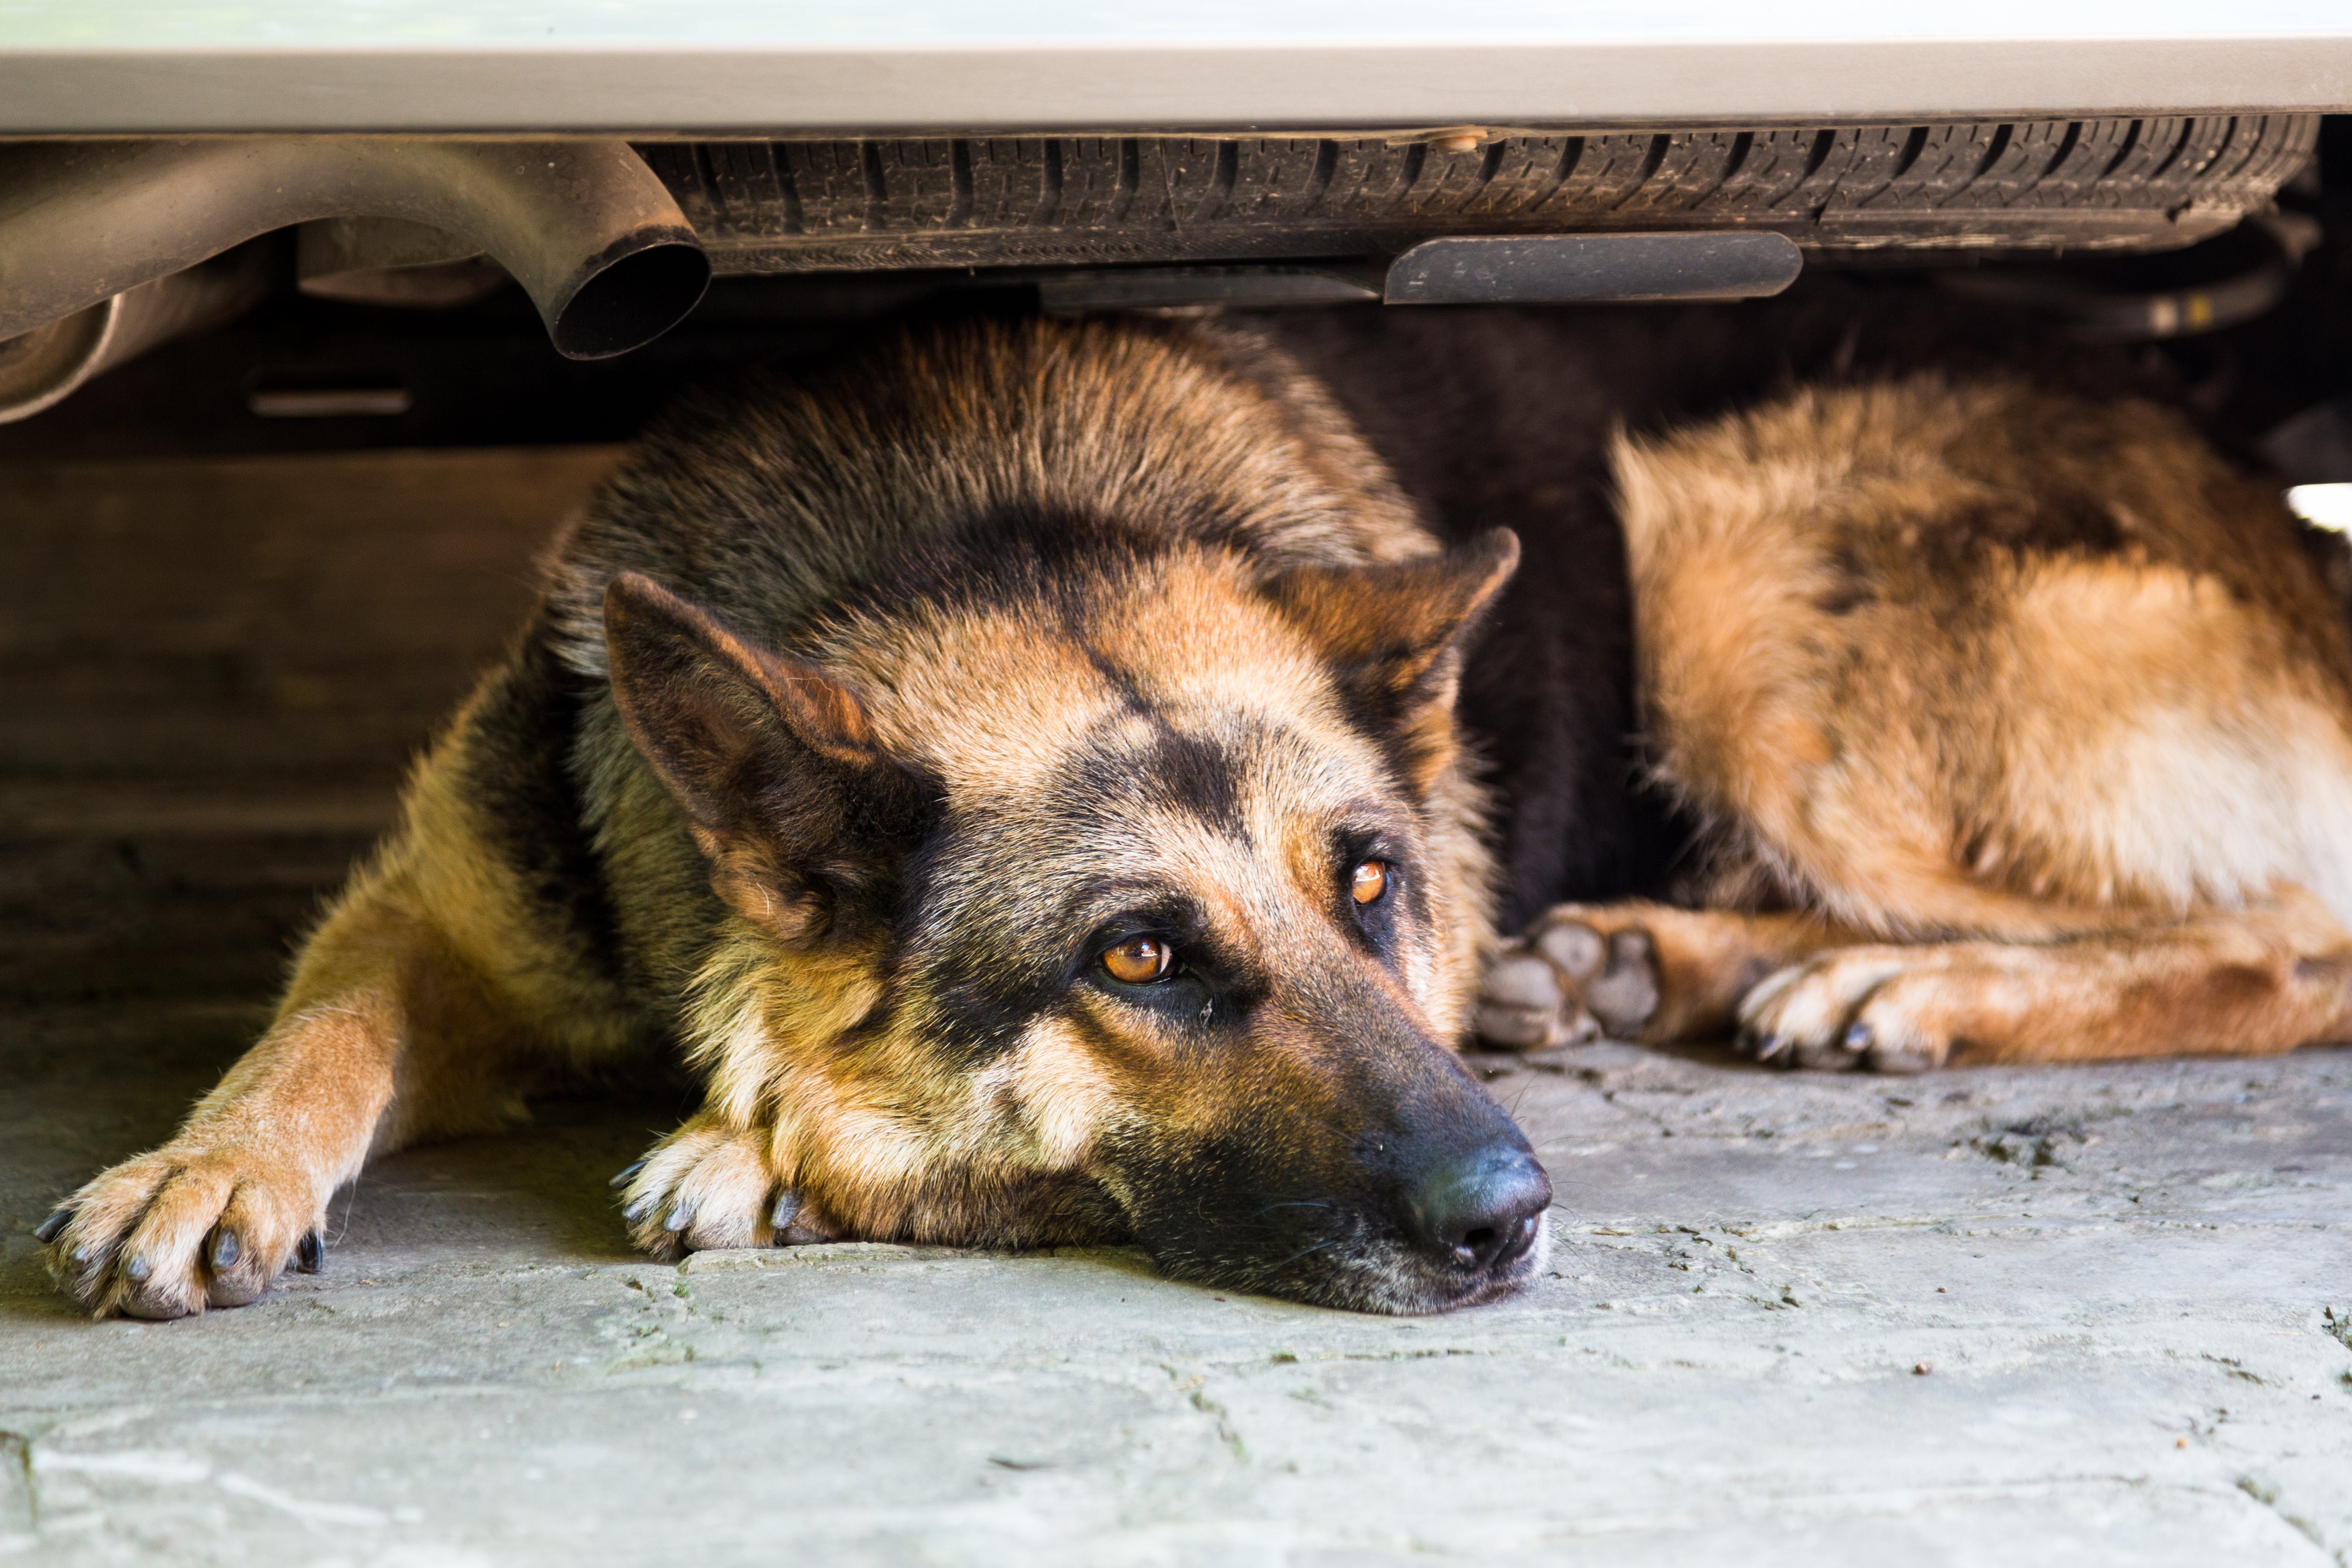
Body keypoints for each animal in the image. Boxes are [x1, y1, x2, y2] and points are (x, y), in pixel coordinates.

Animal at [36, 285, 2352, 1321]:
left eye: (1372, 882)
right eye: (1139, 955)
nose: (1514, 1218)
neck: (981, 520)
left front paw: (765, 1145)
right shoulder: (429, 911)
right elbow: (320, 1023)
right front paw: (202, 1162)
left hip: (1729, 565)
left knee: (2290, 935)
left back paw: (1904, 987)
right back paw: (1659, 959)